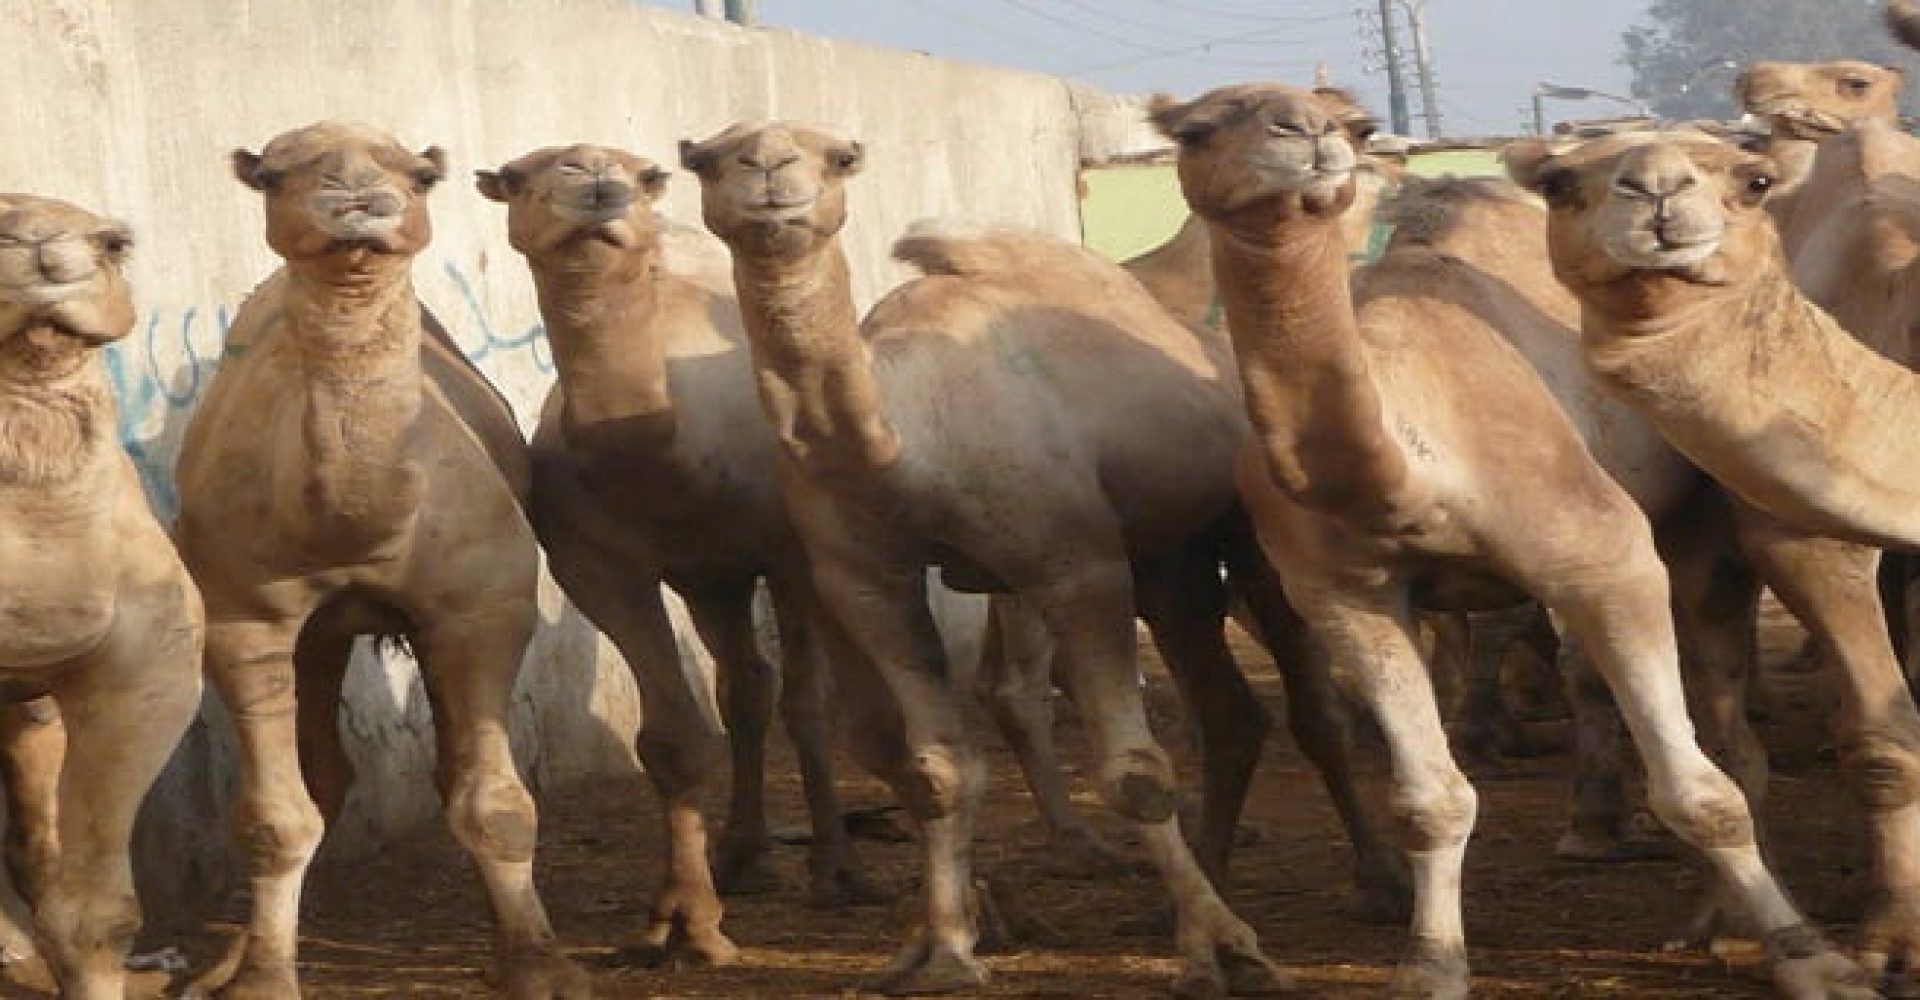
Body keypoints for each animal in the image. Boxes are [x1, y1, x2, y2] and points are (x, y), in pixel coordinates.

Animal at [172, 123, 591, 999]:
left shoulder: (482, 610)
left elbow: (497, 803)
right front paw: (261, 976)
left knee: (448, 770)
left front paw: (541, 964)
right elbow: (272, 818)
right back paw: (229, 959)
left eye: (420, 176)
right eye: (274, 175)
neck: (355, 527)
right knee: (322, 775)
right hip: (322, 634)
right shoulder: (243, 615)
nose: (360, 201)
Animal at [473, 143, 891, 965]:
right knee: (744, 688)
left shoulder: (788, 553)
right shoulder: (599, 567)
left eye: (646, 176)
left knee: (782, 693)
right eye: (517, 177)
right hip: (709, 580)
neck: (667, 458)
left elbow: (809, 704)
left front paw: (834, 873)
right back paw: (741, 857)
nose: (597, 187)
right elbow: (670, 741)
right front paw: (683, 919)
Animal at [675, 119, 1361, 995]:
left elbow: (1136, 775)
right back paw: (1178, 896)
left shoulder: (1074, 564)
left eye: (839, 158)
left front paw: (1224, 949)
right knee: (1228, 707)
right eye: (706, 158)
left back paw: (1374, 887)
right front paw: (942, 951)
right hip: (1169, 563)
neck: (907, 441)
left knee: (1310, 698)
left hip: (1247, 532)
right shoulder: (865, 579)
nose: (769, 168)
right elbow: (938, 772)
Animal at [1154, 83, 1869, 998]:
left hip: (1697, 511)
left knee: (1719, 715)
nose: (1306, 136)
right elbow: (1431, 801)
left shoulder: (1605, 555)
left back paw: (1709, 908)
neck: (1410, 467)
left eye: (1355, 127)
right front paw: (1429, 965)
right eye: (1195, 129)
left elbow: (1697, 792)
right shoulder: (1345, 593)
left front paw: (1816, 958)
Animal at [1507, 123, 1920, 987]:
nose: (1658, 192)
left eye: (1754, 179)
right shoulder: (1801, 532)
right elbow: (1883, 739)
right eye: (1558, 183)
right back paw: (1721, 925)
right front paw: (1893, 941)